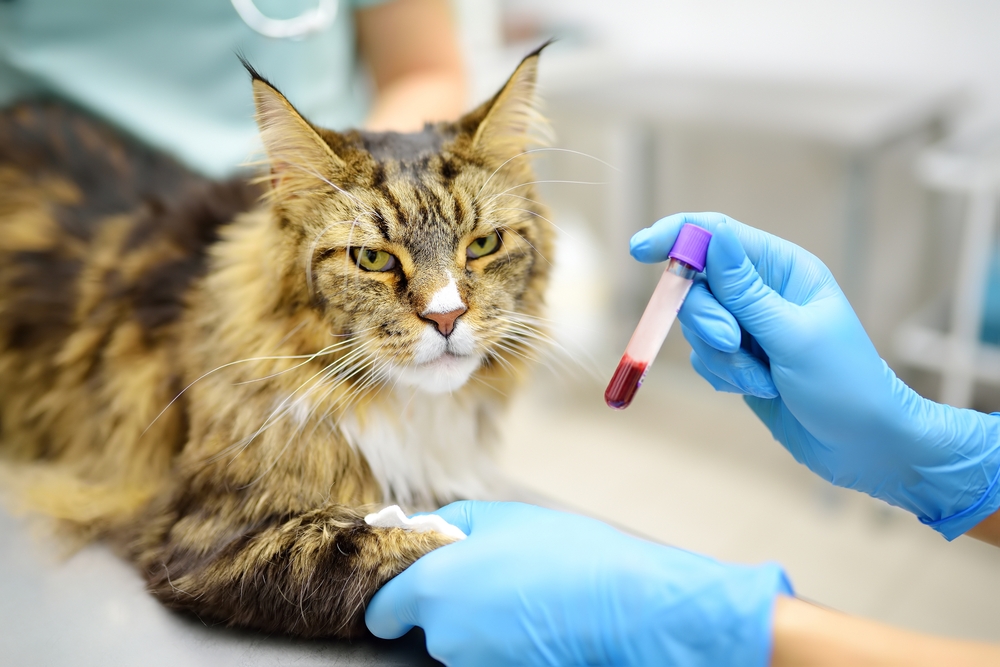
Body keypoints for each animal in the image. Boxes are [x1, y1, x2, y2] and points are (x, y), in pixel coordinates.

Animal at [0, 44, 556, 640]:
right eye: (373, 258)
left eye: (483, 245)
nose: (446, 316)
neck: (405, 410)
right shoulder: (204, 540)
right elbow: (377, 543)